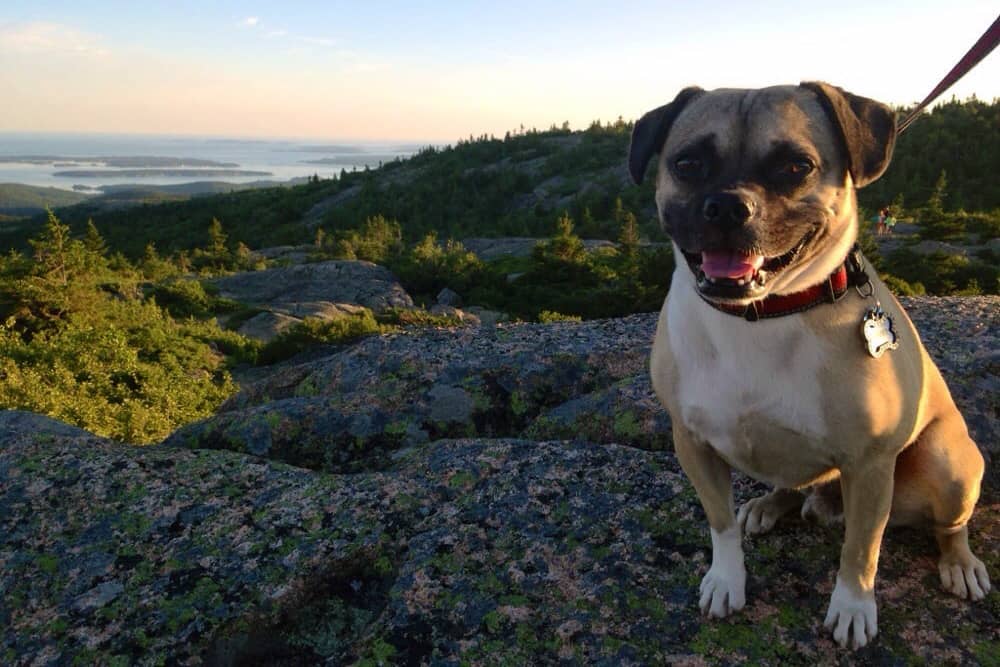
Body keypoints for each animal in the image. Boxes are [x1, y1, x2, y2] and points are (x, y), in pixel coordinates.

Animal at [628, 82, 988, 648]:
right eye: (687, 163)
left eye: (796, 166)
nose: (727, 206)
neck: (763, 313)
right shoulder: (692, 442)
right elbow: (719, 523)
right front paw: (726, 580)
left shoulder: (869, 464)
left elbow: (861, 550)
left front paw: (853, 608)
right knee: (787, 485)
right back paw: (767, 506)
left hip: (946, 463)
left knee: (950, 525)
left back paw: (960, 564)